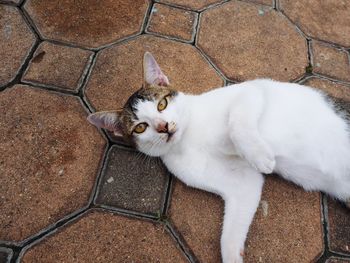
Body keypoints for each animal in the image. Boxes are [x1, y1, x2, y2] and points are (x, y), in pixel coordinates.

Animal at [87, 52, 350, 263]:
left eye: (162, 104)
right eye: (141, 127)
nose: (164, 127)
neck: (189, 136)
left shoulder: (253, 89)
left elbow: (236, 122)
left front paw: (259, 155)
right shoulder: (242, 183)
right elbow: (231, 229)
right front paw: (233, 255)